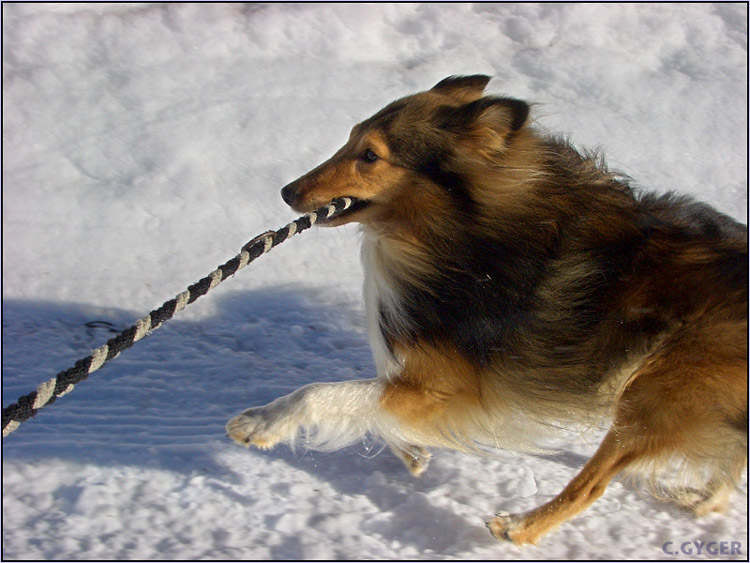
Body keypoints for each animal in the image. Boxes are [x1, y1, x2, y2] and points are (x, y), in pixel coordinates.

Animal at [226, 76, 748, 548]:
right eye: (350, 137)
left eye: (370, 155)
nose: (287, 192)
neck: (456, 229)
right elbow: (373, 401)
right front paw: (412, 452)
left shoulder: (447, 385)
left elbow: (321, 393)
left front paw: (259, 425)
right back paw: (699, 499)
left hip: (655, 397)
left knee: (593, 483)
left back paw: (520, 527)